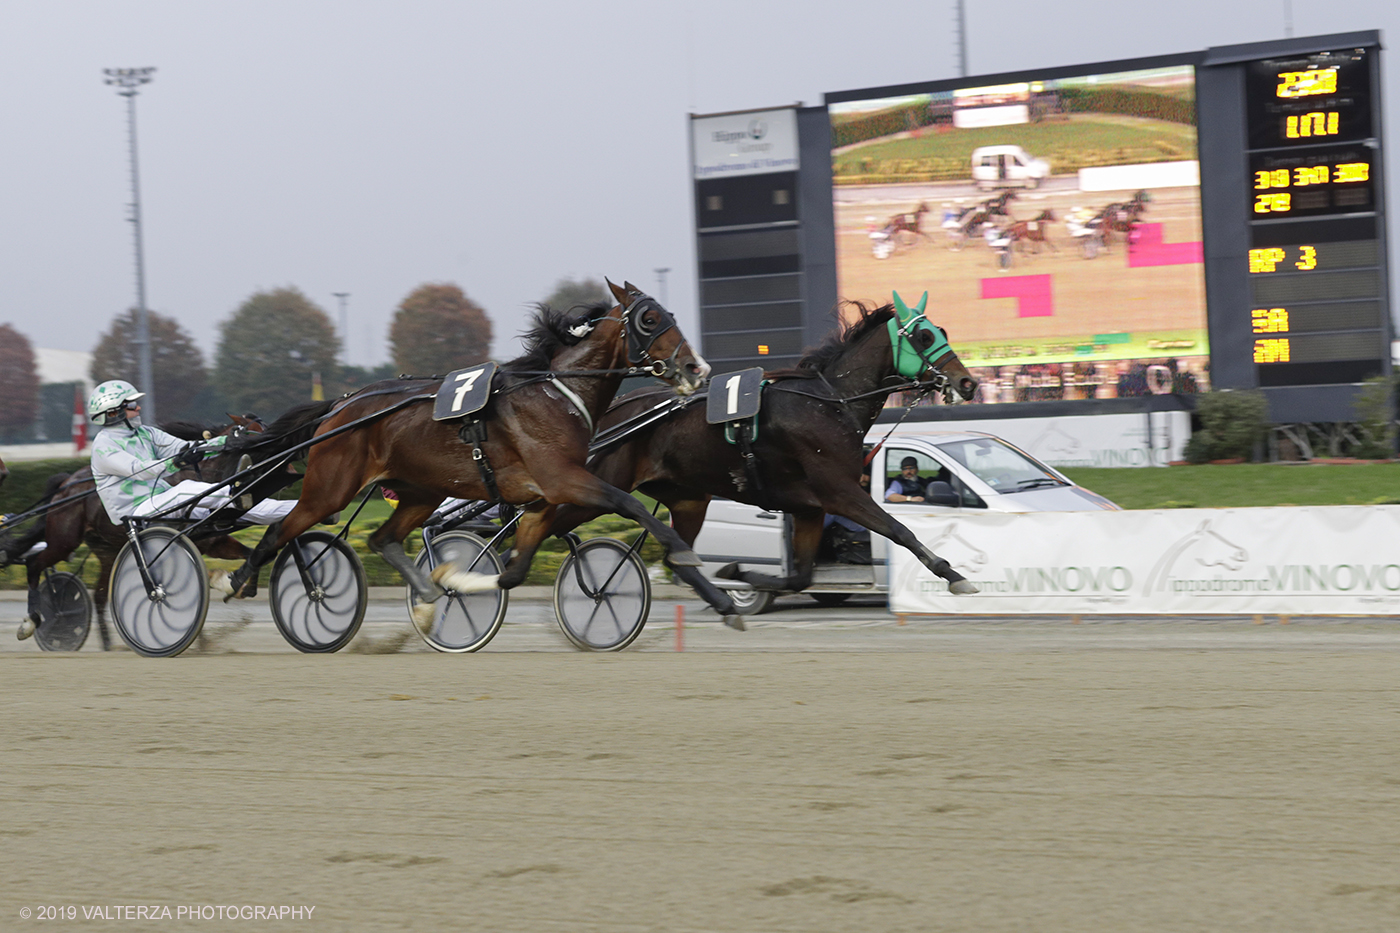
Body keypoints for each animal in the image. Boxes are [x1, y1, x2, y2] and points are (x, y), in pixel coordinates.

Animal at [546, 292, 985, 610]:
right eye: (924, 337)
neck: (830, 402)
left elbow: (800, 576)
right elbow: (900, 530)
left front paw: (739, 574)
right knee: (550, 522)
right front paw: (954, 577)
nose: (967, 383)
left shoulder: (810, 508)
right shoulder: (840, 492)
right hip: (604, 485)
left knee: (675, 557)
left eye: (941, 330)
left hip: (689, 499)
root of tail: (604, 413)